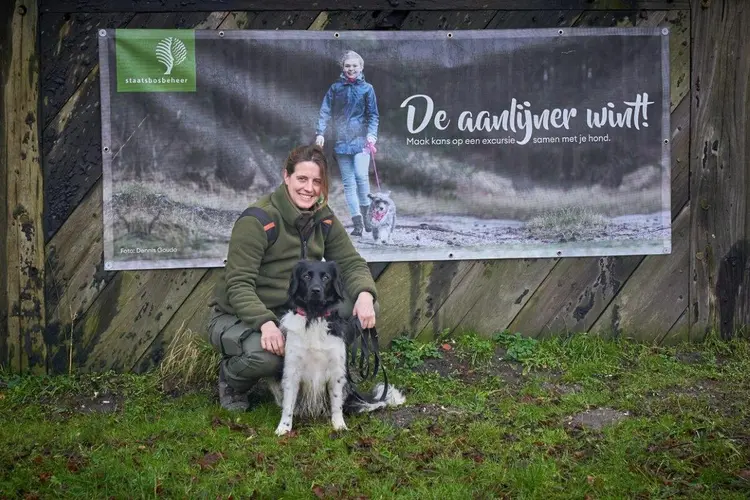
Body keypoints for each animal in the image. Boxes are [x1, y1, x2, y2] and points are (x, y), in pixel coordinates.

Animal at [268, 260, 402, 436]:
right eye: (305, 276)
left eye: (326, 277)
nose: (316, 290)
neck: (314, 317)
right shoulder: (292, 371)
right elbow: (288, 404)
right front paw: (283, 428)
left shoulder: (336, 371)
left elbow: (336, 403)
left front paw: (339, 426)